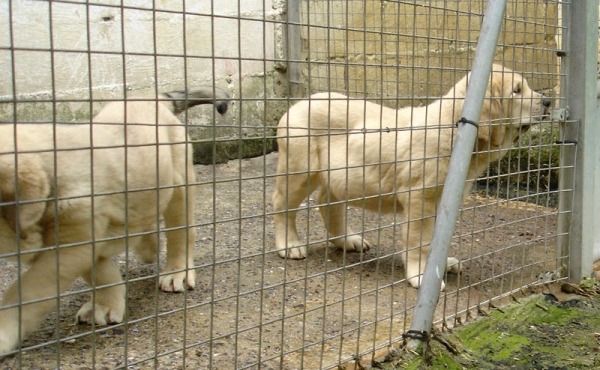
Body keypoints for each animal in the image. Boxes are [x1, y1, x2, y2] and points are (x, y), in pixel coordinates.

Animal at [0, 85, 230, 354]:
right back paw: (148, 246)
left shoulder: (69, 245)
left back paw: (176, 272)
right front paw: (105, 304)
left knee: (180, 233)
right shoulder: (82, 243)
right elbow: (100, 272)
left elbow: (25, 291)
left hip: (179, 182)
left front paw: (3, 331)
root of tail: (154, 98)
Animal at [274, 63, 552, 290]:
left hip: (340, 176)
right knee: (282, 205)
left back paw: (347, 240)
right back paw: (290, 245)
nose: (548, 102)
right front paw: (420, 276)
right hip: (299, 169)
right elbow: (421, 241)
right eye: (517, 91)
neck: (455, 130)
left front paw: (442, 264)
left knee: (326, 201)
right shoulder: (421, 198)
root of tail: (297, 104)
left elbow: (436, 239)